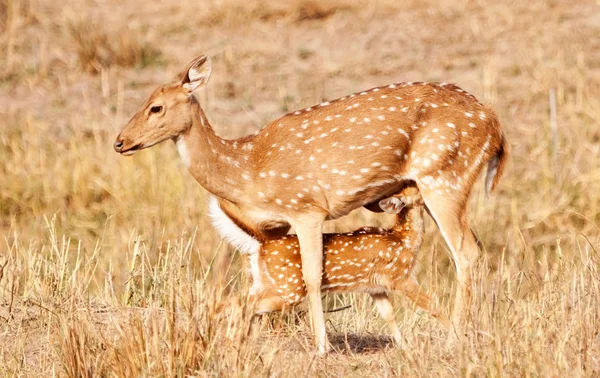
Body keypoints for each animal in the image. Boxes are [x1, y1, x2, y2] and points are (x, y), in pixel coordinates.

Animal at [211, 184, 450, 346]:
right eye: (415, 188)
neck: (404, 240)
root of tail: (262, 244)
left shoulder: (375, 288)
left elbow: (389, 315)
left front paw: (403, 345)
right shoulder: (400, 276)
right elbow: (434, 305)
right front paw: (455, 333)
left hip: (265, 283)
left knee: (232, 300)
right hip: (289, 289)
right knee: (241, 303)